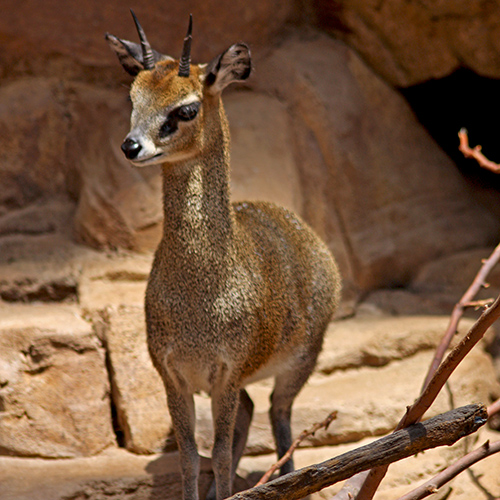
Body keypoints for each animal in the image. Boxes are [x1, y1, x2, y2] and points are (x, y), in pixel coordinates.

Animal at [105, 11, 340, 500]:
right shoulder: (174, 376)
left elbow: (223, 453)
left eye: (186, 108)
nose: (131, 146)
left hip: (301, 362)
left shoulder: (226, 374)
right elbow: (192, 456)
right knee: (251, 413)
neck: (202, 293)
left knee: (278, 415)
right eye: (133, 97)